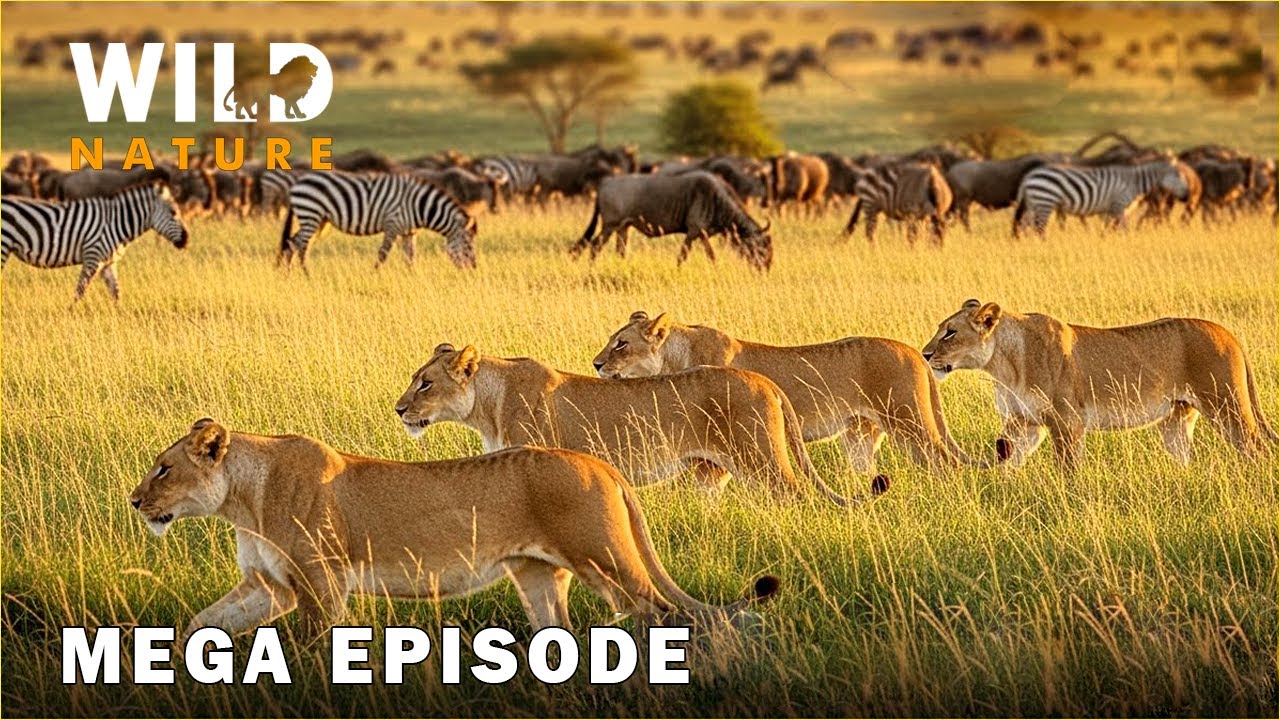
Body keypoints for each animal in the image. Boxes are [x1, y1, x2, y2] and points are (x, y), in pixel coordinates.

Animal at [129, 418, 779, 639]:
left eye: (164, 467)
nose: (135, 501)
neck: (243, 501)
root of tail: (600, 465)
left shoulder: (321, 584)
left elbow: (313, 647)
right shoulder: (270, 588)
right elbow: (203, 623)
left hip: (606, 559)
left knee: (664, 615)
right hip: (538, 575)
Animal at [394, 344, 874, 506]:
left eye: (425, 383)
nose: (399, 410)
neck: (487, 407)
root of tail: (764, 380)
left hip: (762, 460)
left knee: (798, 497)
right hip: (714, 470)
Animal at [593, 311, 976, 473]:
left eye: (621, 343)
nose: (595, 364)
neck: (675, 356)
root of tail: (915, 351)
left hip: (910, 422)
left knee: (946, 463)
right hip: (861, 434)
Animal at [922, 299, 1276, 470]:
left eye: (950, 332)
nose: (924, 354)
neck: (1004, 365)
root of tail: (1227, 332)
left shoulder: (1068, 422)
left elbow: (1068, 470)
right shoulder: (1024, 424)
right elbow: (1009, 461)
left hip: (1227, 407)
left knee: (1257, 450)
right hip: (1176, 420)